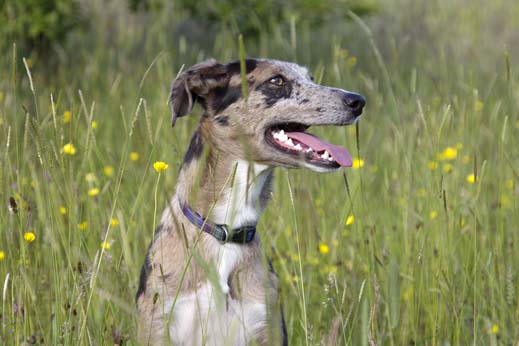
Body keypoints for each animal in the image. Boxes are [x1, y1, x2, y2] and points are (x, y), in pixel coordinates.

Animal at [136, 58, 368, 344]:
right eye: (276, 80)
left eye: (310, 78)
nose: (358, 101)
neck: (226, 231)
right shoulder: (159, 325)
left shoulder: (265, 325)